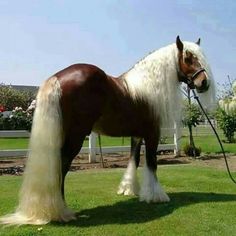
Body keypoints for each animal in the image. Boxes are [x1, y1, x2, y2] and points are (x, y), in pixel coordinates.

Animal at [0, 36, 215, 224]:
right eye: (187, 58)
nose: (203, 83)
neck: (147, 89)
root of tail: (57, 77)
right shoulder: (152, 133)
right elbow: (152, 163)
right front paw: (156, 196)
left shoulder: (136, 135)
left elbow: (134, 159)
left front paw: (129, 189)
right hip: (76, 136)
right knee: (62, 165)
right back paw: (61, 211)